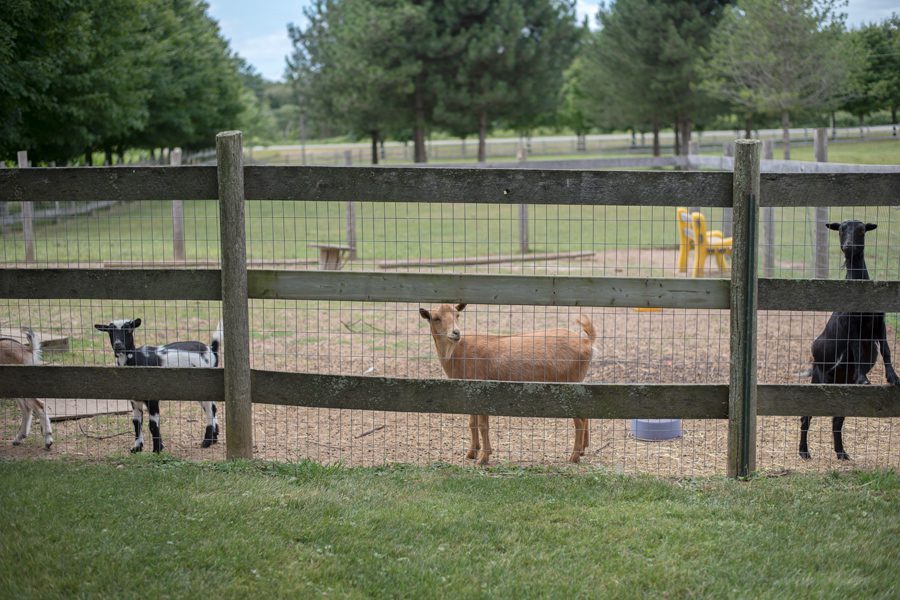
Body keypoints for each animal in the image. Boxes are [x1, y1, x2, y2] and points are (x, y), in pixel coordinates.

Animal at [95, 318, 223, 450]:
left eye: (129, 330)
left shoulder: (152, 397)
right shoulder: (134, 400)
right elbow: (136, 422)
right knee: (213, 408)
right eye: (110, 331)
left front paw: (157, 449)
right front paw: (137, 448)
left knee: (210, 411)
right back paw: (214, 438)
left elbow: (152, 424)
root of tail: (211, 350)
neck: (137, 358)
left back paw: (207, 441)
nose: (118, 345)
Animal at [418, 302, 596, 466]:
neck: (459, 353)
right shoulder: (470, 391)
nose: (456, 333)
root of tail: (587, 343)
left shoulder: (482, 388)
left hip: (570, 384)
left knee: (579, 422)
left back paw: (573, 457)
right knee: (585, 415)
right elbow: (472, 423)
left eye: (457, 315)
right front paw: (472, 453)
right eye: (435, 318)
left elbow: (482, 425)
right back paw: (582, 450)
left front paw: (483, 458)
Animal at [800, 220, 900, 460]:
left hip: (841, 386)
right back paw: (804, 452)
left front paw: (893, 377)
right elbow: (855, 349)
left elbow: (886, 350)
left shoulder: (879, 323)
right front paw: (863, 379)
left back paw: (841, 452)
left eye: (862, 230)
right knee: (806, 415)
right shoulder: (852, 326)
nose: (847, 247)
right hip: (821, 377)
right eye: (840, 230)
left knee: (837, 419)